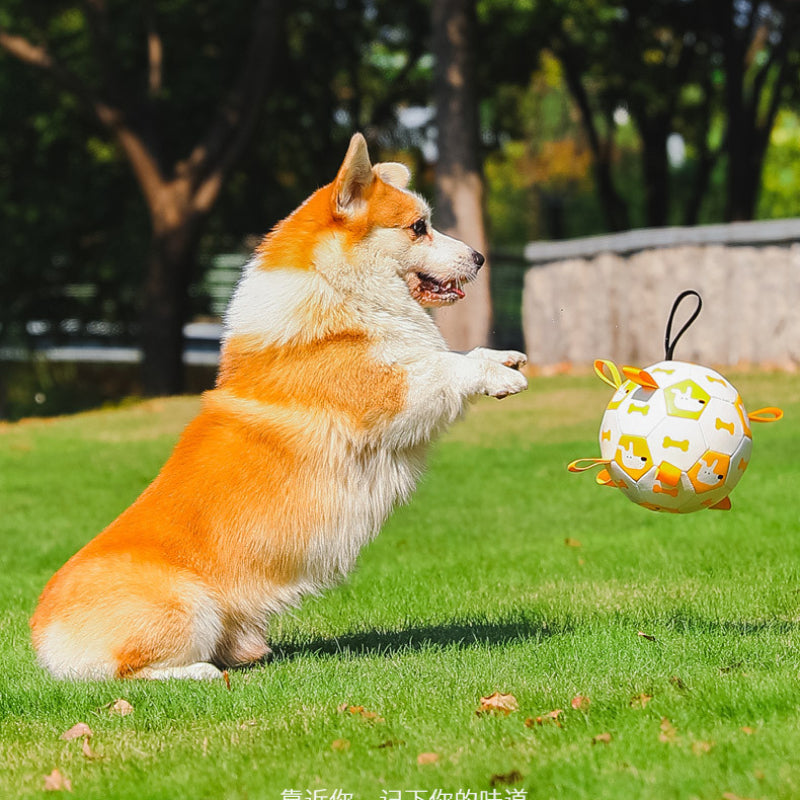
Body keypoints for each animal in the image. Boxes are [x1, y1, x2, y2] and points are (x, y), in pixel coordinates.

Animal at [31, 133, 528, 680]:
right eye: (419, 227)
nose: (479, 257)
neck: (338, 287)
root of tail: (45, 640)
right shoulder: (393, 393)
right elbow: (445, 367)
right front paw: (499, 377)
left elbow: (460, 354)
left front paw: (503, 356)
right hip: (191, 606)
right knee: (130, 673)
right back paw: (202, 673)